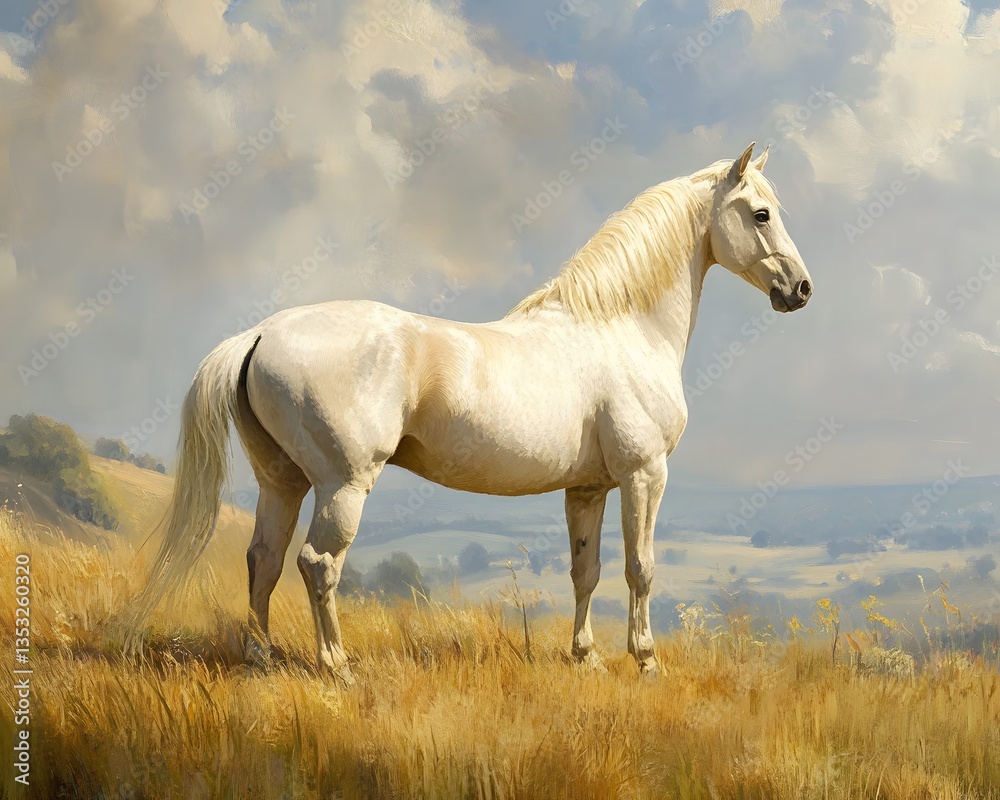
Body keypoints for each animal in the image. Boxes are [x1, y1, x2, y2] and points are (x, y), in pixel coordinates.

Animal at [128, 142, 812, 682]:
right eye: (760, 214)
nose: (801, 290)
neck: (621, 327)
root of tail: (261, 333)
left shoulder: (588, 488)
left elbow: (585, 571)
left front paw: (585, 657)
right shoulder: (644, 475)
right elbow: (640, 569)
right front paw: (645, 661)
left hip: (284, 482)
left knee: (264, 560)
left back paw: (261, 659)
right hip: (341, 485)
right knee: (317, 566)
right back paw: (338, 668)